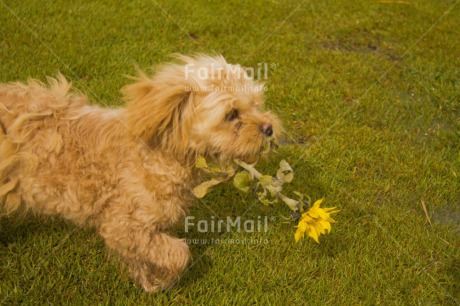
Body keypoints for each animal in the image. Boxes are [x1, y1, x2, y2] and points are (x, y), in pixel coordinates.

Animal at [0, 54, 280, 292]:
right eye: (231, 114)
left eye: (256, 104)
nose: (269, 128)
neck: (158, 153)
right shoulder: (123, 225)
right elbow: (179, 254)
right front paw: (160, 280)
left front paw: (146, 275)